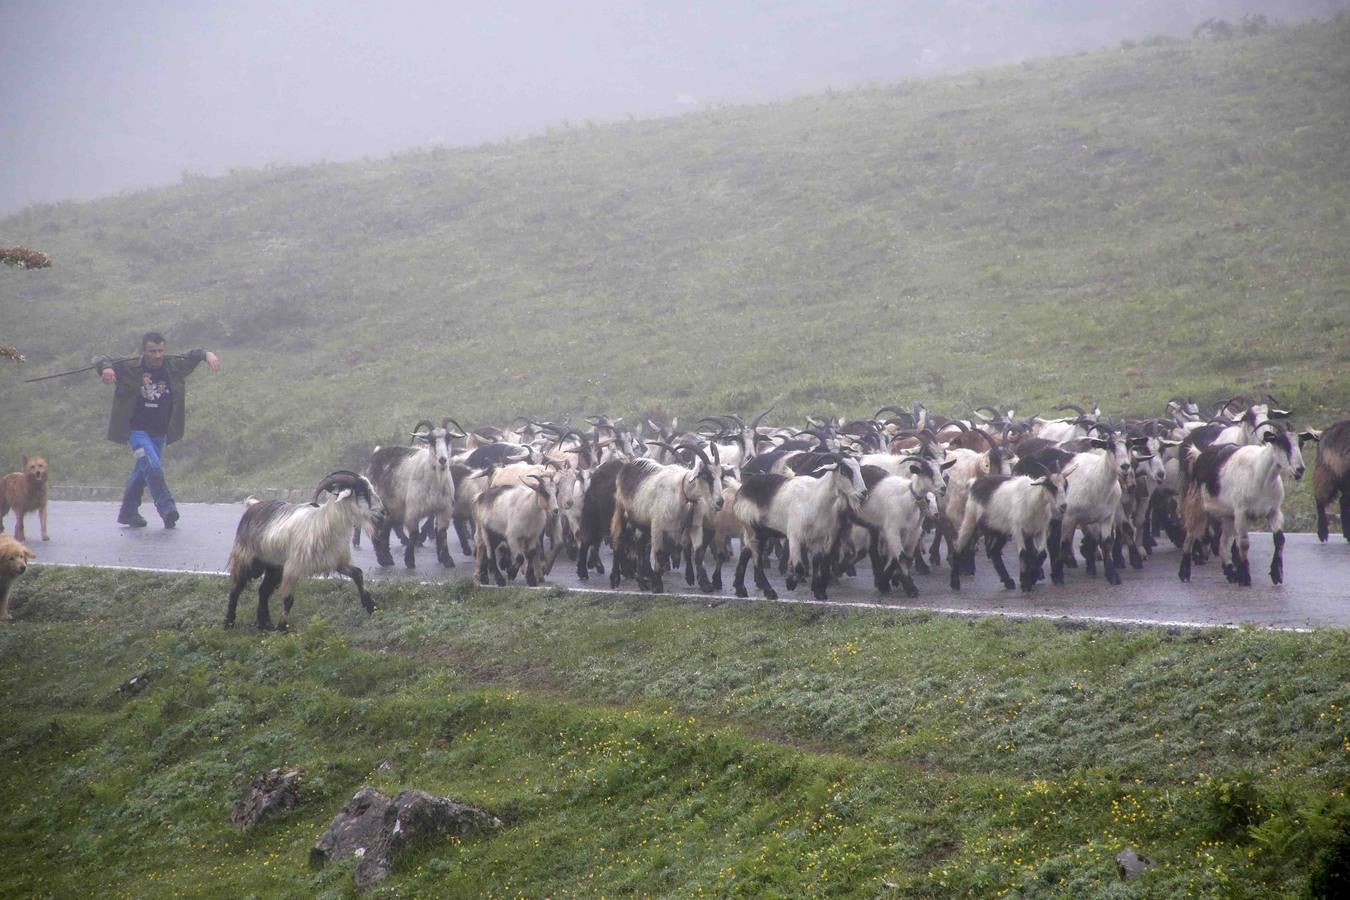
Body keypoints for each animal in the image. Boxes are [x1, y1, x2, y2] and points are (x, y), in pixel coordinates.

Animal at [225, 472, 386, 634]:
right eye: (361, 492)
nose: (383, 512)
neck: (324, 523)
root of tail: (252, 505)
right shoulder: (293, 568)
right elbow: (288, 600)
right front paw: (283, 627)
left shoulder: (336, 562)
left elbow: (358, 574)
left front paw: (371, 606)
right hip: (246, 558)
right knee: (235, 589)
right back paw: (229, 623)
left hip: (275, 566)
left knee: (263, 591)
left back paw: (265, 624)